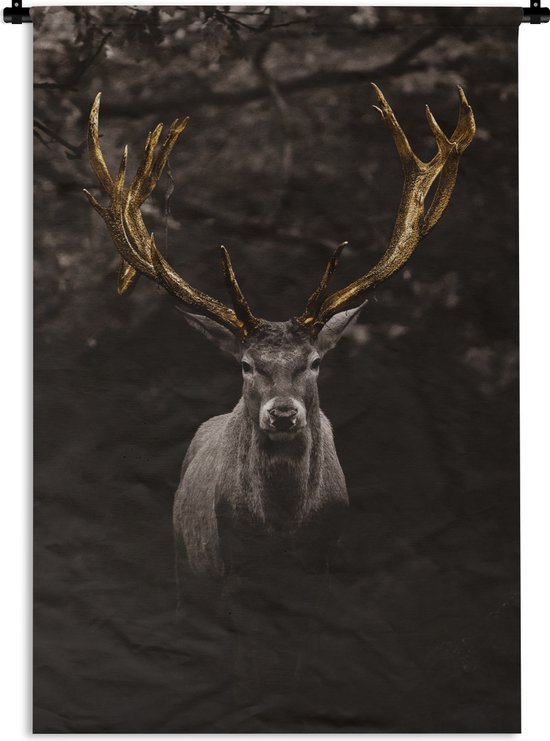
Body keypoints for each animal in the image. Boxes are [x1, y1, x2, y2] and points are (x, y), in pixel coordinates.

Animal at [84, 84, 475, 589]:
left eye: (314, 361)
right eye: (246, 364)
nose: (284, 414)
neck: (283, 528)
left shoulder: (326, 554)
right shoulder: (225, 560)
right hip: (184, 558)